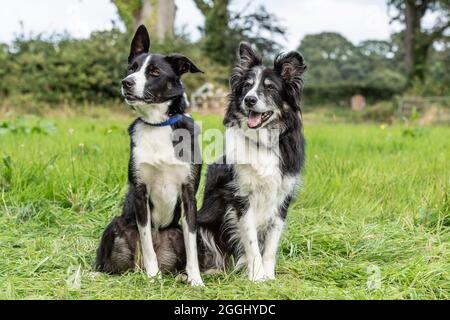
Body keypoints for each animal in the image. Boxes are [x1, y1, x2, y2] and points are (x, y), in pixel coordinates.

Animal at [95, 24, 204, 284]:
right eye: (132, 68)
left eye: (154, 72)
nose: (126, 82)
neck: (158, 124)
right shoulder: (140, 193)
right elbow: (146, 242)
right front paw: (153, 276)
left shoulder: (188, 194)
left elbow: (192, 245)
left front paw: (196, 279)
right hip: (115, 224)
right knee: (109, 264)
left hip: (175, 232)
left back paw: (181, 276)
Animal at [197, 42, 306, 280]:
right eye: (247, 86)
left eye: (270, 88)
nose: (249, 100)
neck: (262, 141)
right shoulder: (241, 197)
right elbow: (251, 241)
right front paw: (256, 277)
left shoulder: (282, 198)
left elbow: (271, 245)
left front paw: (269, 276)